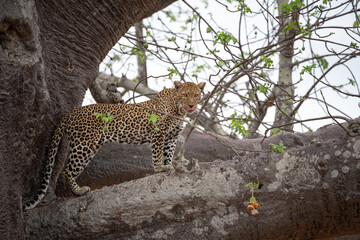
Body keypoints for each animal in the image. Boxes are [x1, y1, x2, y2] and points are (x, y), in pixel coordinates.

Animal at [23, 80, 205, 210]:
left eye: (196, 95)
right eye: (185, 95)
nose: (191, 105)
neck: (178, 110)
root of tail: (70, 113)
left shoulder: (172, 136)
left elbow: (169, 152)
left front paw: (170, 165)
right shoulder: (159, 132)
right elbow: (158, 152)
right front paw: (160, 167)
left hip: (90, 147)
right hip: (84, 145)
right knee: (67, 169)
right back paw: (78, 191)